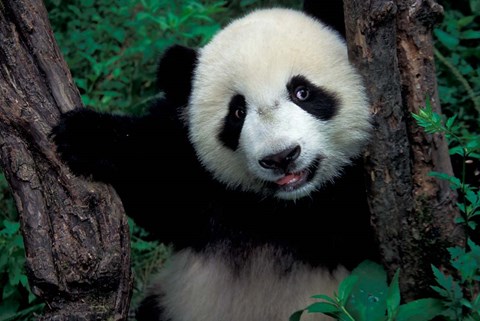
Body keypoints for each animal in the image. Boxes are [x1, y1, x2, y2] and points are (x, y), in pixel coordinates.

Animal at [52, 2, 380, 320]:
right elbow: (157, 181)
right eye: (237, 112)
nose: (281, 157)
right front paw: (83, 134)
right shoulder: (204, 185)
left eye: (302, 92)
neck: (284, 206)